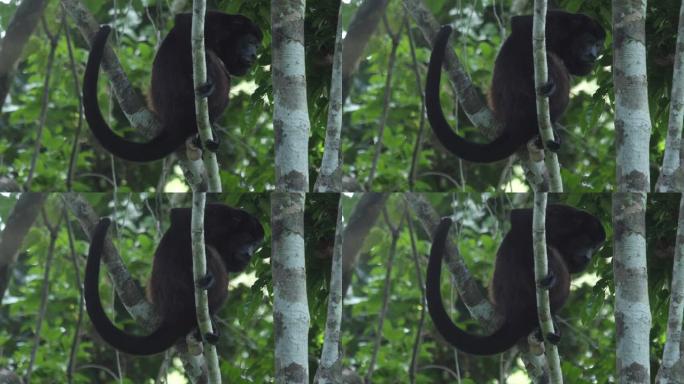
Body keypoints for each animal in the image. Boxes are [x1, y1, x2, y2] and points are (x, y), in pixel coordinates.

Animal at [81, 12, 262, 162]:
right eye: (250, 42)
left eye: (257, 46)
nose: (254, 55)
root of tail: (173, 123)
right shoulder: (210, 23)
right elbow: (183, 31)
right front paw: (209, 77)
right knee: (216, 68)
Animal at [85, 202, 264, 356]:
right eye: (247, 239)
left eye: (255, 245)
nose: (249, 254)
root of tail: (172, 315)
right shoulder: (216, 215)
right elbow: (180, 220)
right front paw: (206, 273)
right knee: (209, 251)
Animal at [424, 10, 608, 163]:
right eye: (589, 41)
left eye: (598, 45)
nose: (593, 54)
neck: (569, 36)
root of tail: (513, 122)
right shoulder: (555, 22)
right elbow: (521, 27)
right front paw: (547, 77)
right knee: (552, 60)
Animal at [428, 202, 604, 356]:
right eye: (587, 242)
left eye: (595, 248)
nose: (588, 257)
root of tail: (513, 314)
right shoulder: (561, 217)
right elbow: (520, 220)